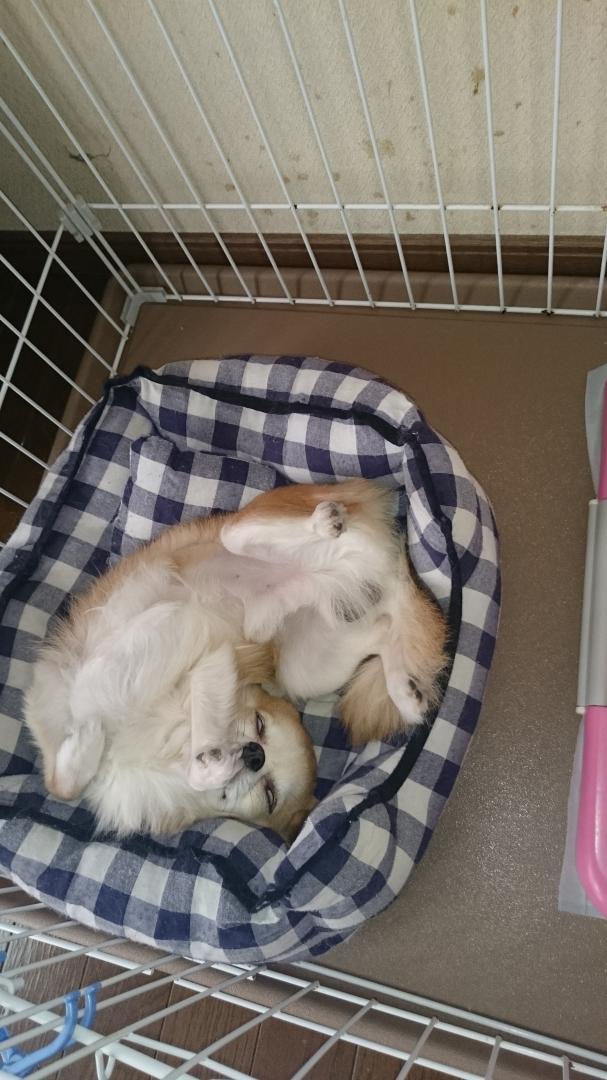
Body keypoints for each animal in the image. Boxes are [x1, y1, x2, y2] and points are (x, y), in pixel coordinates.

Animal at [24, 479, 446, 840]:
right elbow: (62, 782)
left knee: (388, 616)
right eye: (259, 724)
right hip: (300, 648)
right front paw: (88, 740)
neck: (161, 742)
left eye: (270, 794)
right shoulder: (52, 697)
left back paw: (407, 695)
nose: (255, 754)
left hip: (305, 665)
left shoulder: (214, 660)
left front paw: (208, 764)